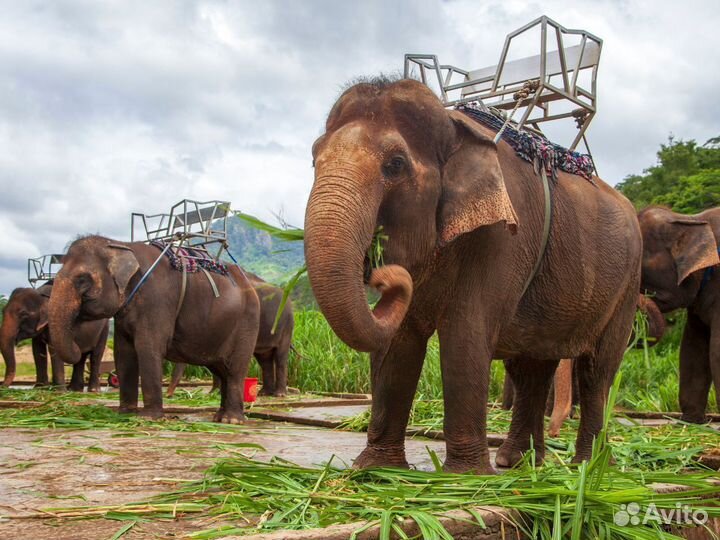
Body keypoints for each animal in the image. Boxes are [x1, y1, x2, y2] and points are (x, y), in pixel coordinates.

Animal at [45, 236, 258, 422]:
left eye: (82, 279)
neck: (122, 245)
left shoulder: (157, 301)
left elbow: (148, 347)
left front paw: (148, 418)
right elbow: (124, 353)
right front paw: (126, 413)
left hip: (246, 324)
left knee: (234, 369)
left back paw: (231, 420)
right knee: (221, 369)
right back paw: (220, 417)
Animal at [304, 76, 640, 472]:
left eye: (395, 164)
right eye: (314, 159)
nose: (384, 276)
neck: (454, 129)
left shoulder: (504, 236)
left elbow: (465, 332)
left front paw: (464, 476)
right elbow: (399, 341)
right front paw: (377, 469)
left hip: (627, 287)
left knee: (595, 372)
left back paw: (588, 467)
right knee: (531, 367)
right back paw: (520, 463)